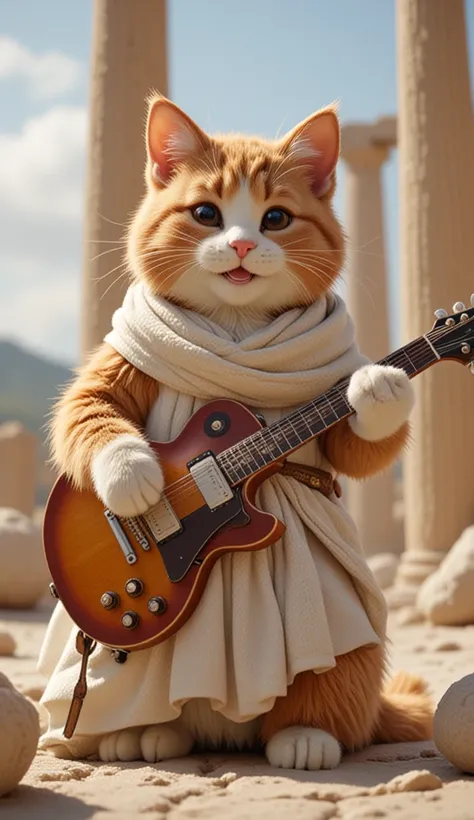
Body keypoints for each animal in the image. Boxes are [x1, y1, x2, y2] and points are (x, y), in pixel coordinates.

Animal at [48, 94, 434, 768]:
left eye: (276, 219)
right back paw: (141, 736)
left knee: (335, 690)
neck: (234, 325)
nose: (244, 247)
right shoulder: (122, 355)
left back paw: (305, 737)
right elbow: (88, 404)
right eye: (207, 213)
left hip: (344, 652)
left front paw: (381, 387)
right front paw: (135, 483)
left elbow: (359, 450)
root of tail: (227, 731)